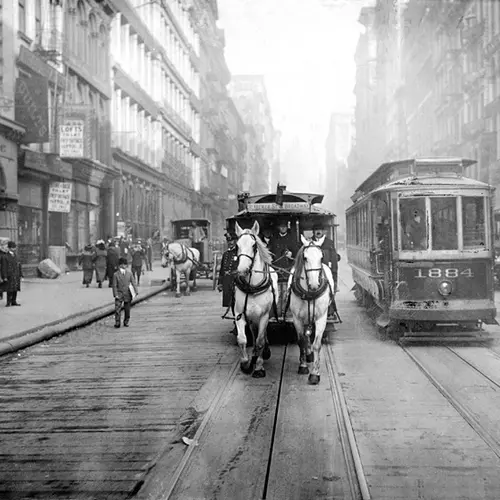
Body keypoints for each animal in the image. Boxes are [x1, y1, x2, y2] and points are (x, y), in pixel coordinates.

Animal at [233, 221, 278, 376]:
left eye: (254, 245)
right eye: (237, 246)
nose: (242, 270)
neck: (252, 287)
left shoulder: (264, 315)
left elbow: (260, 341)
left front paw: (258, 367)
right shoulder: (240, 314)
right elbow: (242, 339)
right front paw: (245, 363)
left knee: (262, 335)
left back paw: (264, 352)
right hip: (252, 317)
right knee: (253, 333)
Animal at [288, 236, 334, 384]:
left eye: (321, 257)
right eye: (305, 257)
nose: (314, 284)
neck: (309, 293)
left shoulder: (321, 317)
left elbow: (317, 344)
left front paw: (315, 374)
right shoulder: (297, 318)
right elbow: (301, 341)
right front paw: (303, 366)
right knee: (305, 336)